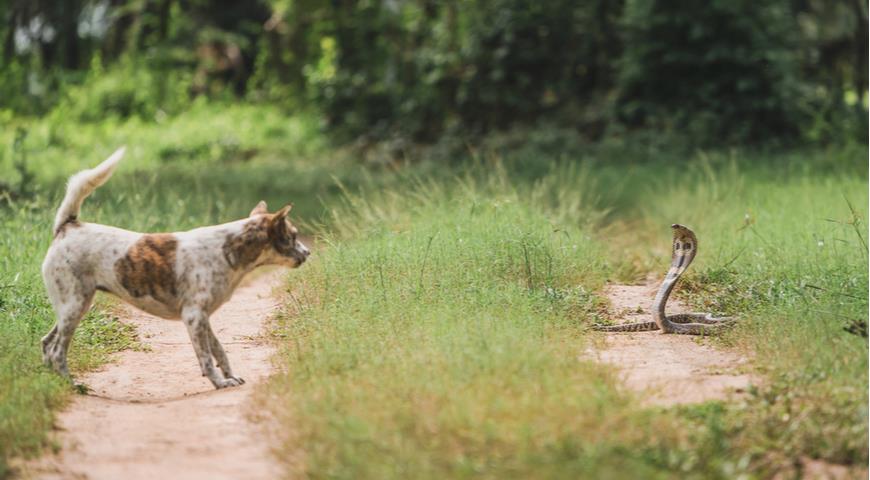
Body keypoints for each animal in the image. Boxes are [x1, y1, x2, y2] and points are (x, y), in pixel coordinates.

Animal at [42, 148, 314, 388]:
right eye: (293, 235)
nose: (309, 252)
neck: (228, 249)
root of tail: (68, 226)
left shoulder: (204, 319)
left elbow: (220, 352)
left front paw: (230, 377)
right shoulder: (193, 317)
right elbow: (206, 359)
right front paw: (219, 383)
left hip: (75, 308)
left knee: (46, 343)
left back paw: (53, 382)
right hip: (74, 307)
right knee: (57, 352)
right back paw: (72, 385)